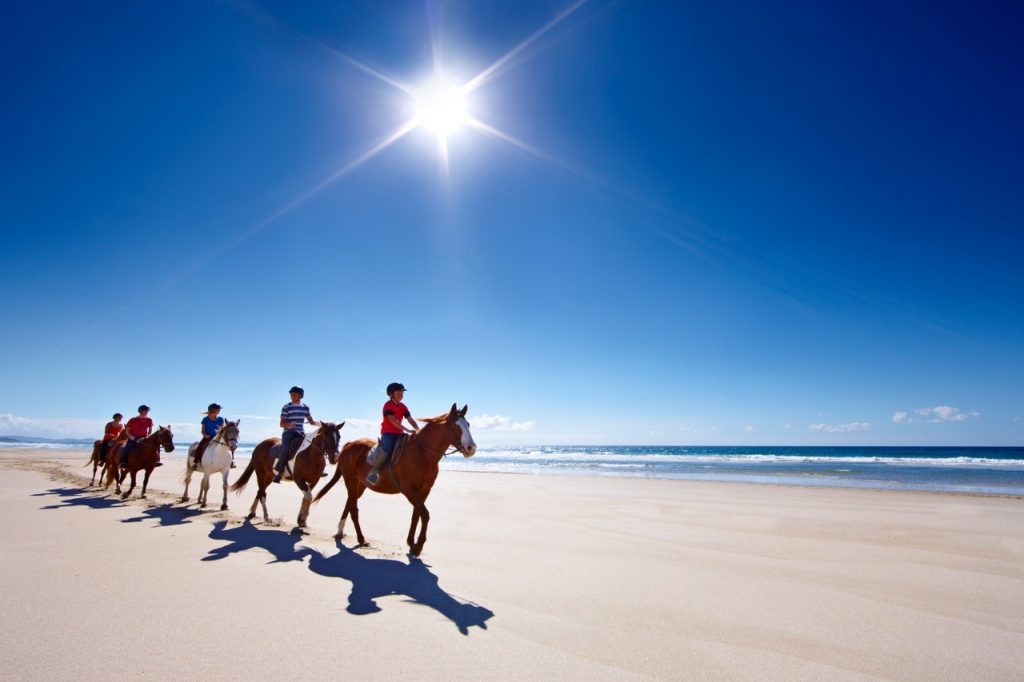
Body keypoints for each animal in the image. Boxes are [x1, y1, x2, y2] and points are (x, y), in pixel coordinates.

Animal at [311, 401, 475, 557]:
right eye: (454, 426)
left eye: (468, 425)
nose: (471, 448)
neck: (422, 453)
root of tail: (348, 445)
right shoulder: (409, 490)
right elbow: (425, 515)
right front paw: (418, 546)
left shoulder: (424, 490)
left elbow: (416, 514)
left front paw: (411, 542)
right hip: (350, 482)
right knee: (354, 509)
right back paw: (361, 539)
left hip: (360, 485)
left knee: (350, 504)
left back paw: (340, 531)